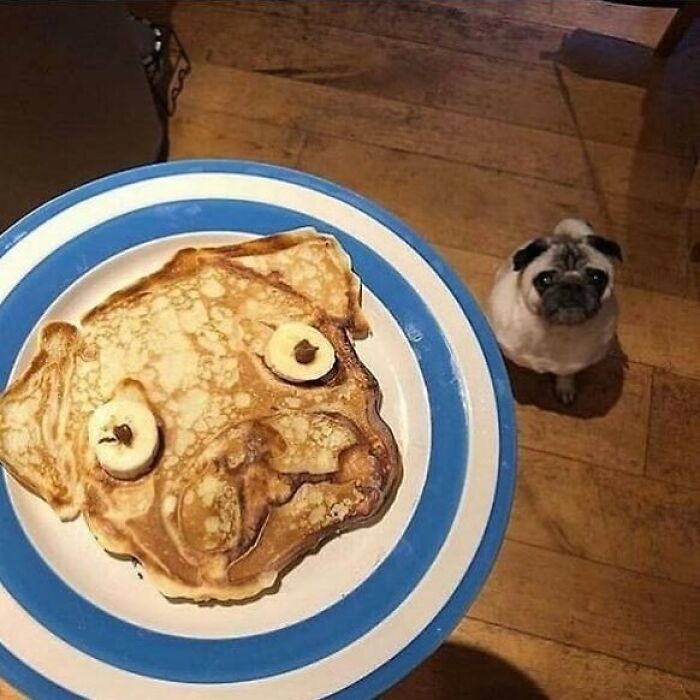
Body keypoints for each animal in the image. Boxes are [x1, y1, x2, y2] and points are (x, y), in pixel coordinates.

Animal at [486, 219, 624, 404]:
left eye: (596, 278)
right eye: (545, 279)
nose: (572, 285)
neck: (556, 329)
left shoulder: (572, 365)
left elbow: (566, 375)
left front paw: (565, 387)